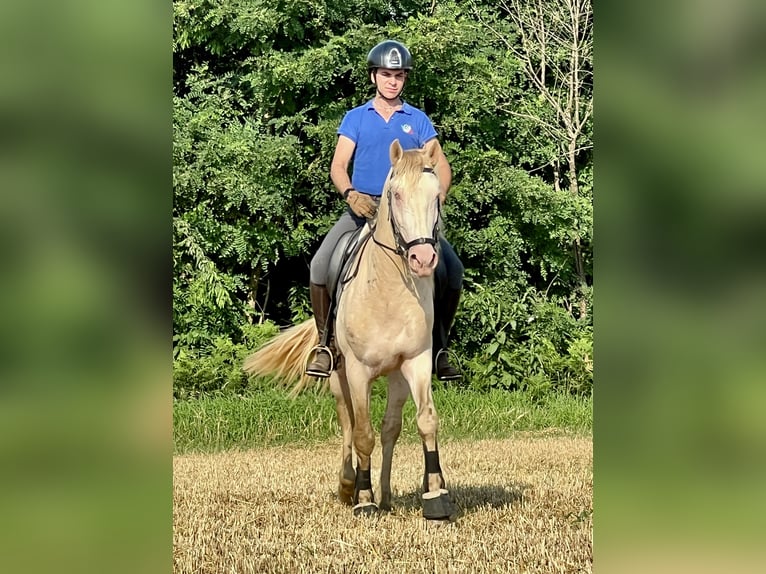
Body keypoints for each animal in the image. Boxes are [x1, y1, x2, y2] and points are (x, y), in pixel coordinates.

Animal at [243, 139, 456, 522]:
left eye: (435, 196)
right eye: (396, 194)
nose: (422, 260)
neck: (388, 289)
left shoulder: (416, 362)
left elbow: (425, 422)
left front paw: (435, 495)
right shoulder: (358, 371)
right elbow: (361, 434)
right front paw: (363, 497)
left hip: (397, 378)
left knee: (390, 428)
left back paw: (386, 495)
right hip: (337, 375)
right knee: (347, 423)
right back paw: (349, 485)